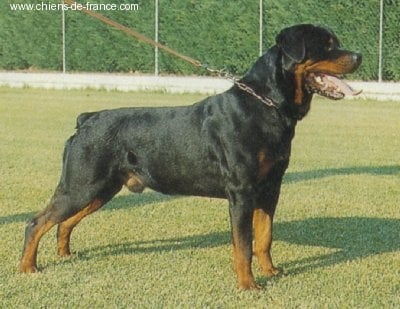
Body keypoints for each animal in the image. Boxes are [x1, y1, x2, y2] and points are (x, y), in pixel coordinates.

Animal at [19, 24, 362, 288]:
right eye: (326, 46)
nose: (359, 55)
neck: (266, 105)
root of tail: (86, 119)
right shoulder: (242, 192)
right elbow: (243, 245)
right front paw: (248, 285)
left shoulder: (270, 189)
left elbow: (264, 237)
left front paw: (271, 272)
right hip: (81, 185)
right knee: (37, 222)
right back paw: (27, 267)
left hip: (100, 189)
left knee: (64, 222)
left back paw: (64, 254)